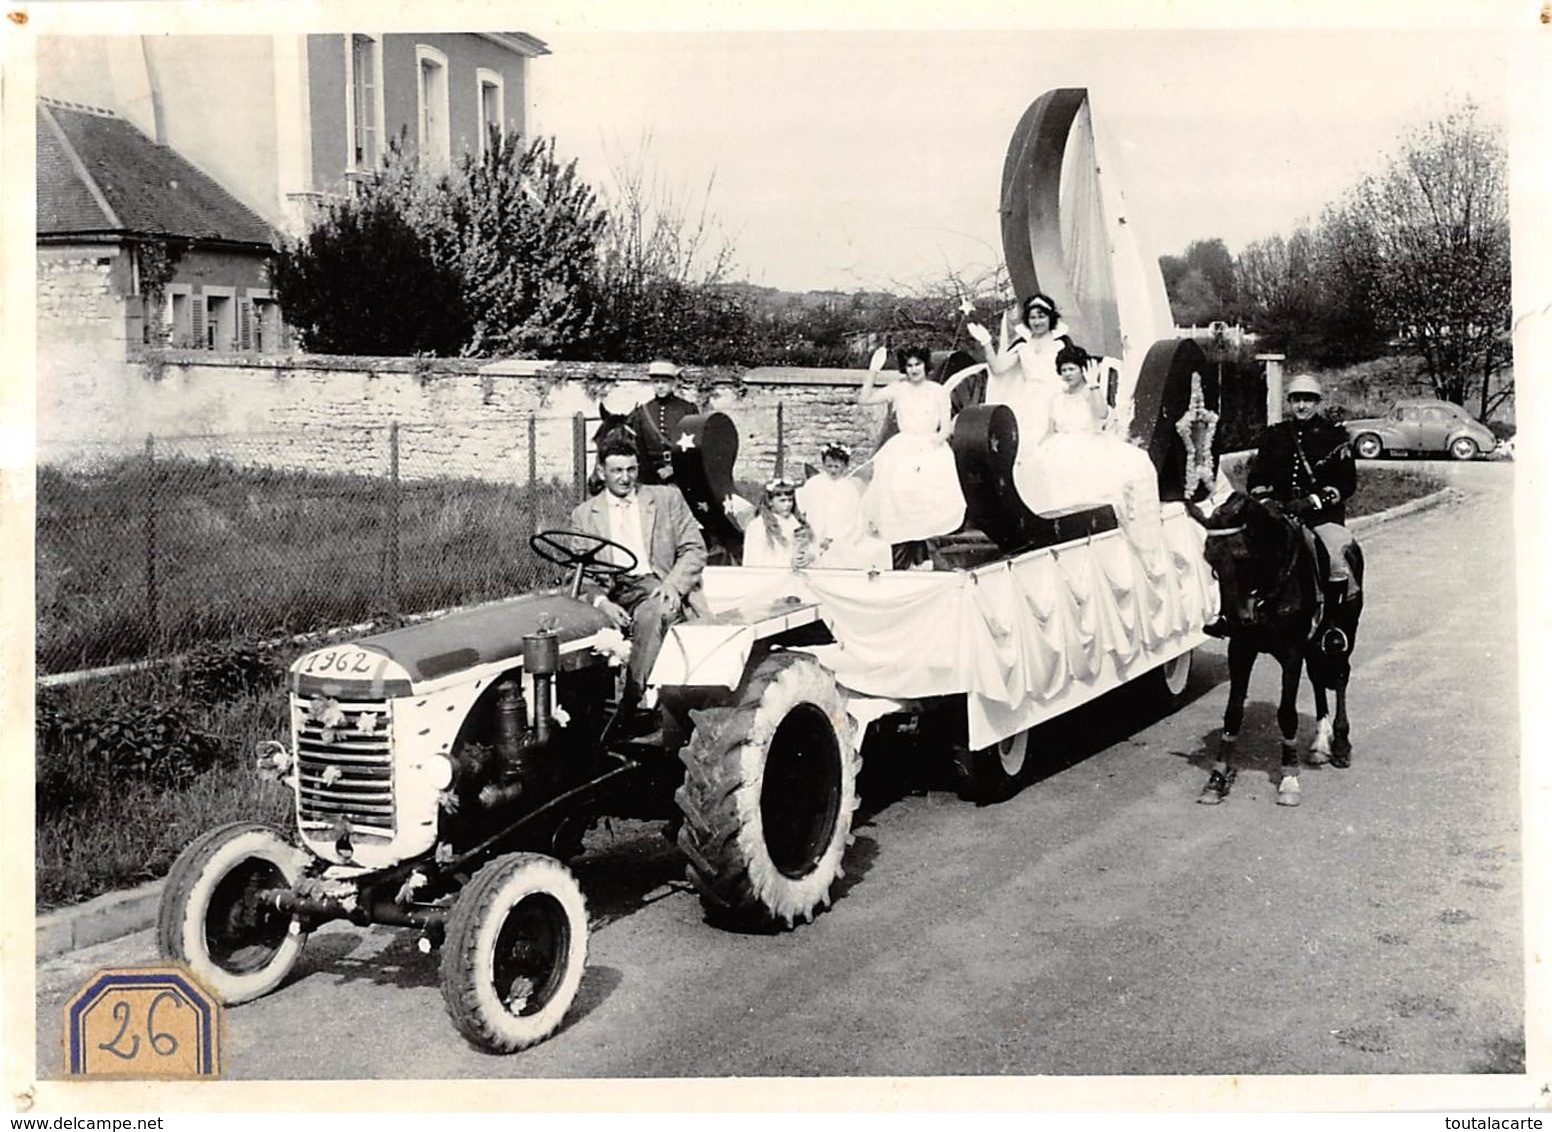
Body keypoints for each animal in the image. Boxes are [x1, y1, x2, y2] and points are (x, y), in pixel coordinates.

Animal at [1191, 490, 1365, 807]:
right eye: (1210, 559)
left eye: (1242, 555)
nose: (1237, 619)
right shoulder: (1240, 650)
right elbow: (1233, 713)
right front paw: (1217, 779)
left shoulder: (1291, 654)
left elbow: (1287, 714)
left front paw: (1288, 778)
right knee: (1318, 678)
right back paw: (1320, 743)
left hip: (1344, 633)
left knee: (1340, 676)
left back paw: (1340, 744)